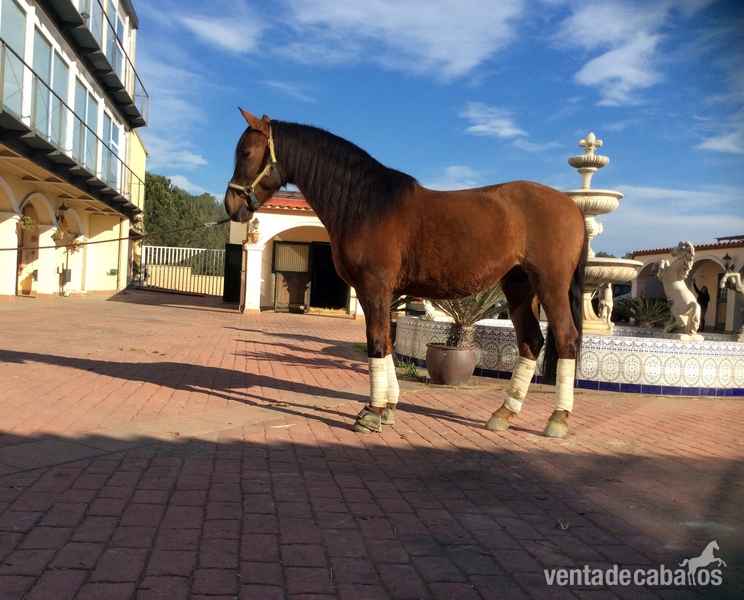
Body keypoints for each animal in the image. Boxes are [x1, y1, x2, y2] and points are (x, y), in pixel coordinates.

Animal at [225, 110, 588, 438]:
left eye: (246, 153)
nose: (231, 205)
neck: (366, 206)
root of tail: (572, 206)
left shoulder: (374, 289)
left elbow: (375, 343)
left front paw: (371, 414)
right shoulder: (376, 293)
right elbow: (387, 343)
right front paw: (388, 409)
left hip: (551, 285)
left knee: (566, 339)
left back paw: (557, 419)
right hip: (518, 287)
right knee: (532, 342)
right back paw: (503, 414)